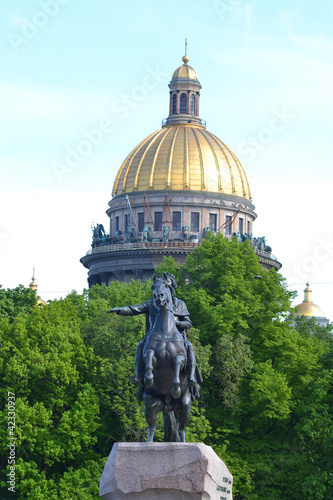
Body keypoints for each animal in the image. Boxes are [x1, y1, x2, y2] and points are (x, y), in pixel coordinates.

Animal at [143, 276, 192, 444]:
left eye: (166, 285)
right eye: (153, 286)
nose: (158, 297)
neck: (166, 331)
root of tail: (167, 406)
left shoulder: (181, 358)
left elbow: (177, 363)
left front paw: (176, 388)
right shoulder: (149, 353)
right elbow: (149, 360)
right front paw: (149, 379)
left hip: (184, 406)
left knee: (182, 428)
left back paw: (183, 442)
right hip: (150, 404)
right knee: (151, 427)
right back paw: (148, 442)